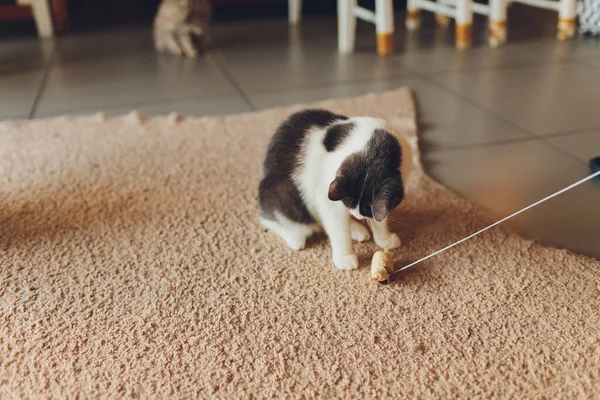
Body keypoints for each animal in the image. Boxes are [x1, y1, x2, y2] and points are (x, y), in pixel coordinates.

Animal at [258, 109, 412, 270]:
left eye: (365, 209)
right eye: (348, 203)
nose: (357, 216)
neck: (376, 150)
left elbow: (379, 218)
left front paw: (385, 239)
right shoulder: (327, 196)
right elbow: (338, 228)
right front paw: (344, 259)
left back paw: (356, 229)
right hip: (281, 196)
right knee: (273, 220)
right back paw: (293, 236)